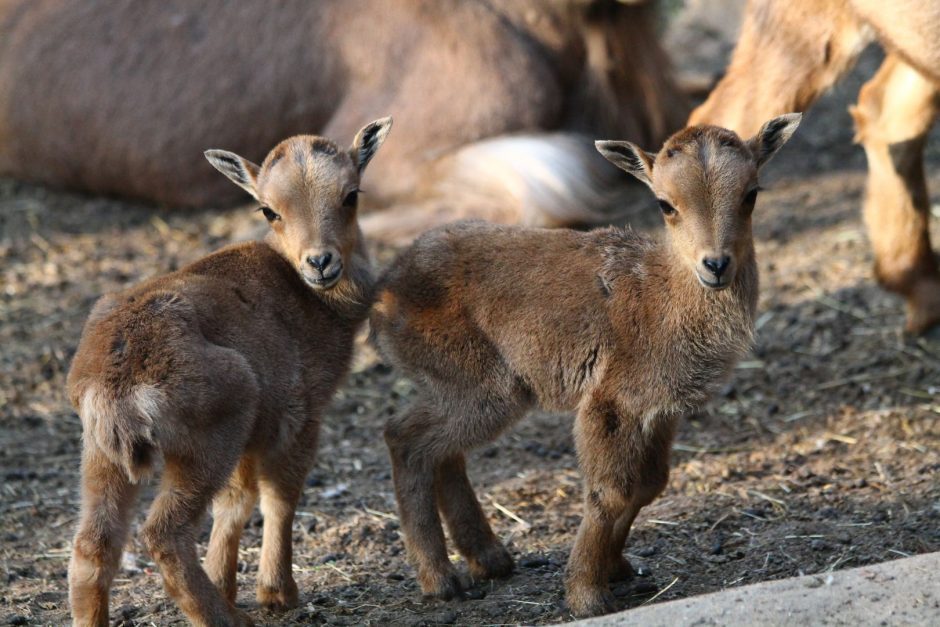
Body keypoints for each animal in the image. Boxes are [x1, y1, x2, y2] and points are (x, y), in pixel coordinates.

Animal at [65, 119, 390, 627]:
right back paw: (227, 618)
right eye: (268, 210)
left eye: (351, 194)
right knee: (164, 533)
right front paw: (277, 593)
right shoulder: (300, 416)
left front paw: (230, 585)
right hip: (210, 434)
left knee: (93, 544)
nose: (321, 262)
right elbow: (279, 496)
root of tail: (116, 387)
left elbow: (235, 502)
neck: (315, 302)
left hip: (101, 454)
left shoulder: (251, 435)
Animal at [372, 114, 800, 620]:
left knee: (441, 451)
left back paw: (491, 560)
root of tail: (380, 297)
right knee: (406, 438)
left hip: (463, 388)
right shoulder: (611, 399)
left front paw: (618, 569)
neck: (663, 297)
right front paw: (587, 595)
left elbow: (650, 484)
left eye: (751, 193)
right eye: (665, 204)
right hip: (479, 383)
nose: (715, 264)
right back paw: (441, 581)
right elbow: (611, 490)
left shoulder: (661, 410)